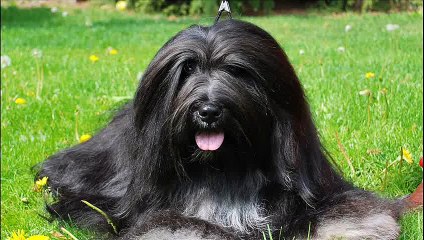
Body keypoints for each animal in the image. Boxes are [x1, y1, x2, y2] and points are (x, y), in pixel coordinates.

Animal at [37, 19, 408, 239]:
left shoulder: (320, 190)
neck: (227, 168)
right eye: (186, 70)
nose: (208, 111)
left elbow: (346, 210)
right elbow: (179, 225)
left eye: (237, 71)